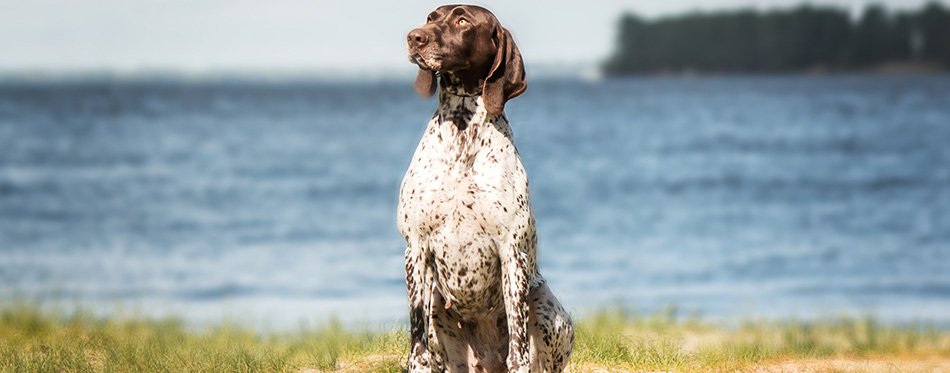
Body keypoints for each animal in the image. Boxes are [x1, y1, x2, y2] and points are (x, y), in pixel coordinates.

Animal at [400, 5, 576, 372]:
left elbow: (518, 346)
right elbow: (416, 341)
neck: (461, 134)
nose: (414, 37)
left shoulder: (512, 252)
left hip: (550, 310)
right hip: (437, 305)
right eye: (431, 16)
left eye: (462, 21)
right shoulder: (415, 249)